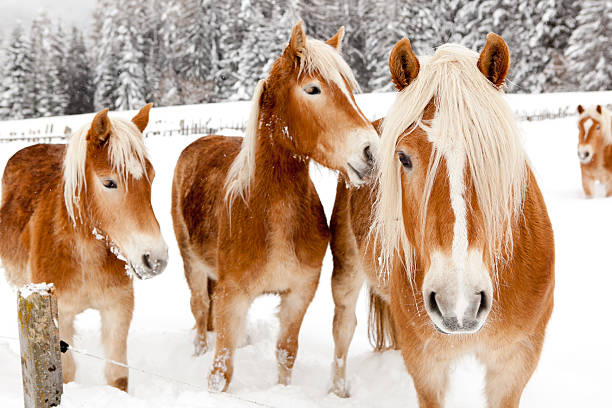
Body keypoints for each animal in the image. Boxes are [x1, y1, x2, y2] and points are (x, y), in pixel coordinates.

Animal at [0, 105, 167, 392]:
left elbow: (117, 375)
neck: (84, 256)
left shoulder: (118, 308)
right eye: (109, 182)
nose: (155, 259)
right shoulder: (60, 316)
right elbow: (66, 373)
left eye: (152, 177)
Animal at [172, 20, 380, 390]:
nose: (371, 151)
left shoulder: (299, 294)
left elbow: (286, 353)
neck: (267, 214)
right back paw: (196, 351)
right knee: (198, 309)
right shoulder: (232, 296)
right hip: (192, 264)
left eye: (349, 88)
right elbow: (222, 369)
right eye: (313, 89)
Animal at [330, 33, 556, 406]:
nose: (459, 303)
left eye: (492, 152)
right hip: (346, 272)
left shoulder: (515, 363)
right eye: (404, 157)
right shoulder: (426, 365)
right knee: (343, 330)